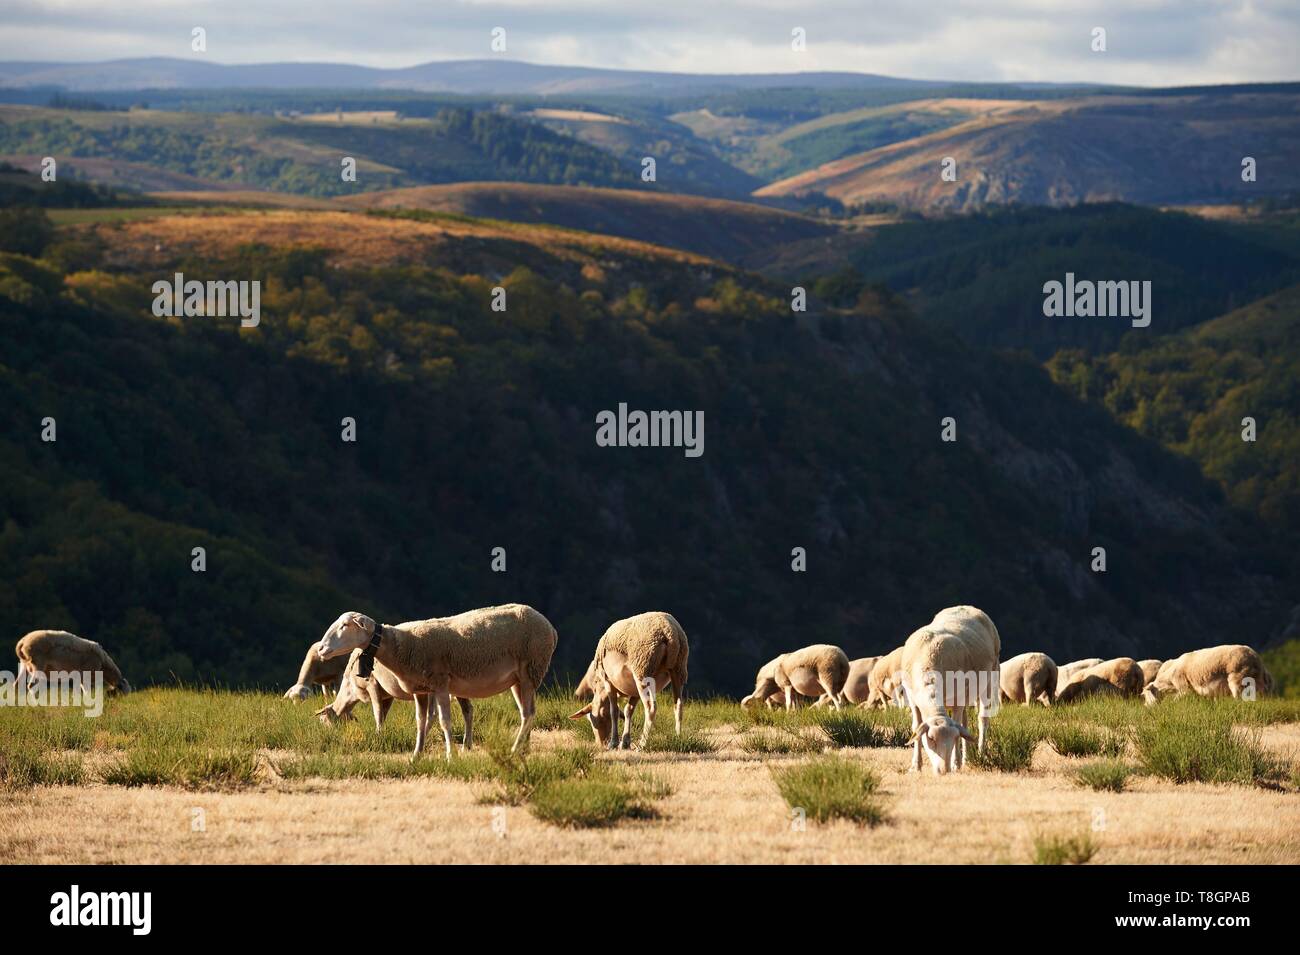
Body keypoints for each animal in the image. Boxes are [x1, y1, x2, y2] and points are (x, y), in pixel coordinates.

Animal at [319, 605, 559, 764]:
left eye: (345, 625)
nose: (321, 649)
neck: (400, 646)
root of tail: (550, 628)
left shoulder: (441, 683)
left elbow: (444, 721)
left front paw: (450, 755)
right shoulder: (421, 689)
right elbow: (420, 722)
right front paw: (416, 755)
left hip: (530, 670)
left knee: (528, 714)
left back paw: (514, 750)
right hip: (519, 679)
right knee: (527, 712)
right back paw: (524, 750)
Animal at [569, 613, 691, 753]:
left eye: (593, 720)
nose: (601, 744)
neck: (600, 688)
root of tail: (669, 632)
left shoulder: (608, 681)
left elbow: (614, 711)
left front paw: (614, 743)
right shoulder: (634, 691)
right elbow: (628, 711)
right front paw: (625, 743)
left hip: (643, 669)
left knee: (651, 707)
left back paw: (642, 744)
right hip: (678, 669)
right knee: (678, 705)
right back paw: (678, 738)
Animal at [899, 605, 998, 779]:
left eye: (954, 738)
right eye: (931, 738)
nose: (943, 771)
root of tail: (967, 606)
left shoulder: (959, 696)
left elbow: (958, 726)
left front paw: (955, 764)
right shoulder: (912, 697)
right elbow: (916, 726)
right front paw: (916, 766)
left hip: (989, 679)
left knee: (982, 719)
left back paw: (979, 754)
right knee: (965, 723)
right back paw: (966, 760)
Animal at [1144, 647, 1274, 706]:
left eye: (1145, 696)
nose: (1146, 707)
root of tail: (1256, 658)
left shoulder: (1183, 687)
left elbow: (1177, 699)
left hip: (1237, 677)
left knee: (1238, 696)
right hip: (1258, 681)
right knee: (1263, 694)